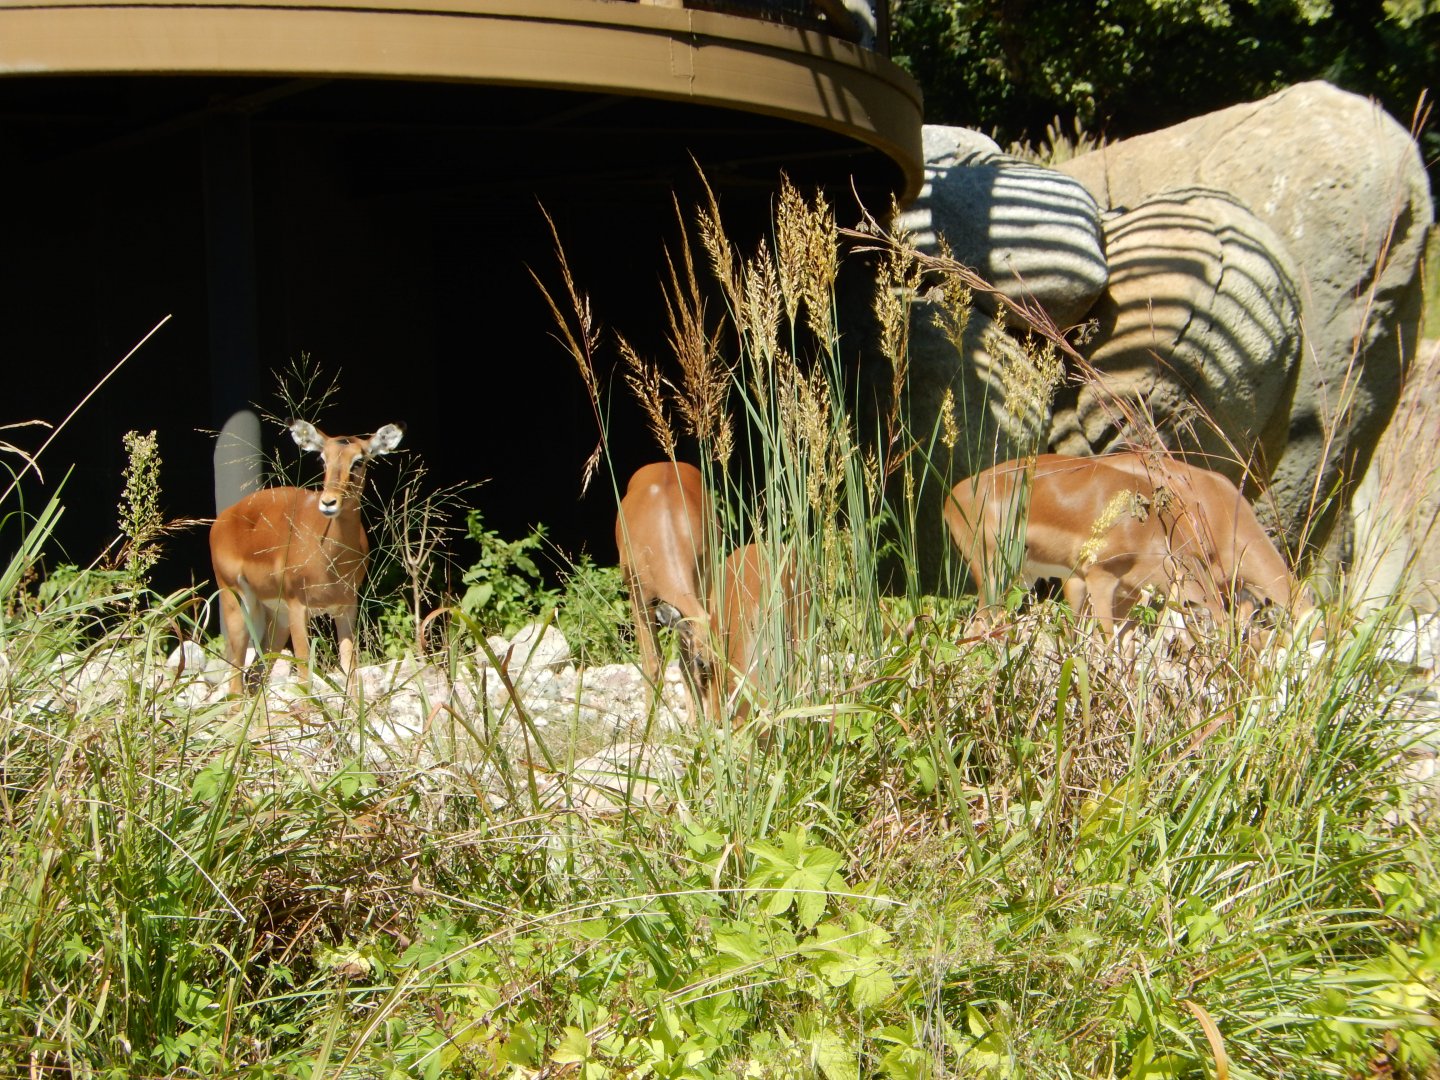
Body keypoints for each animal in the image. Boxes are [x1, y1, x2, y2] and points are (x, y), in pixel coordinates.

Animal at [210, 420, 405, 696]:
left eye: (358, 460)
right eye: (323, 459)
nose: (329, 502)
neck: (330, 563)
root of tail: (222, 519)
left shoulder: (346, 608)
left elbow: (351, 671)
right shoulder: (297, 606)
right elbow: (304, 675)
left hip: (275, 617)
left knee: (254, 676)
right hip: (236, 603)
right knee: (236, 682)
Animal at [615, 461, 717, 722]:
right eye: (702, 662)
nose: (716, 718)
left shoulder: (701, 580)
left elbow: (682, 662)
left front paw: (693, 724)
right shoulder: (637, 596)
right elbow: (652, 662)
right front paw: (650, 727)